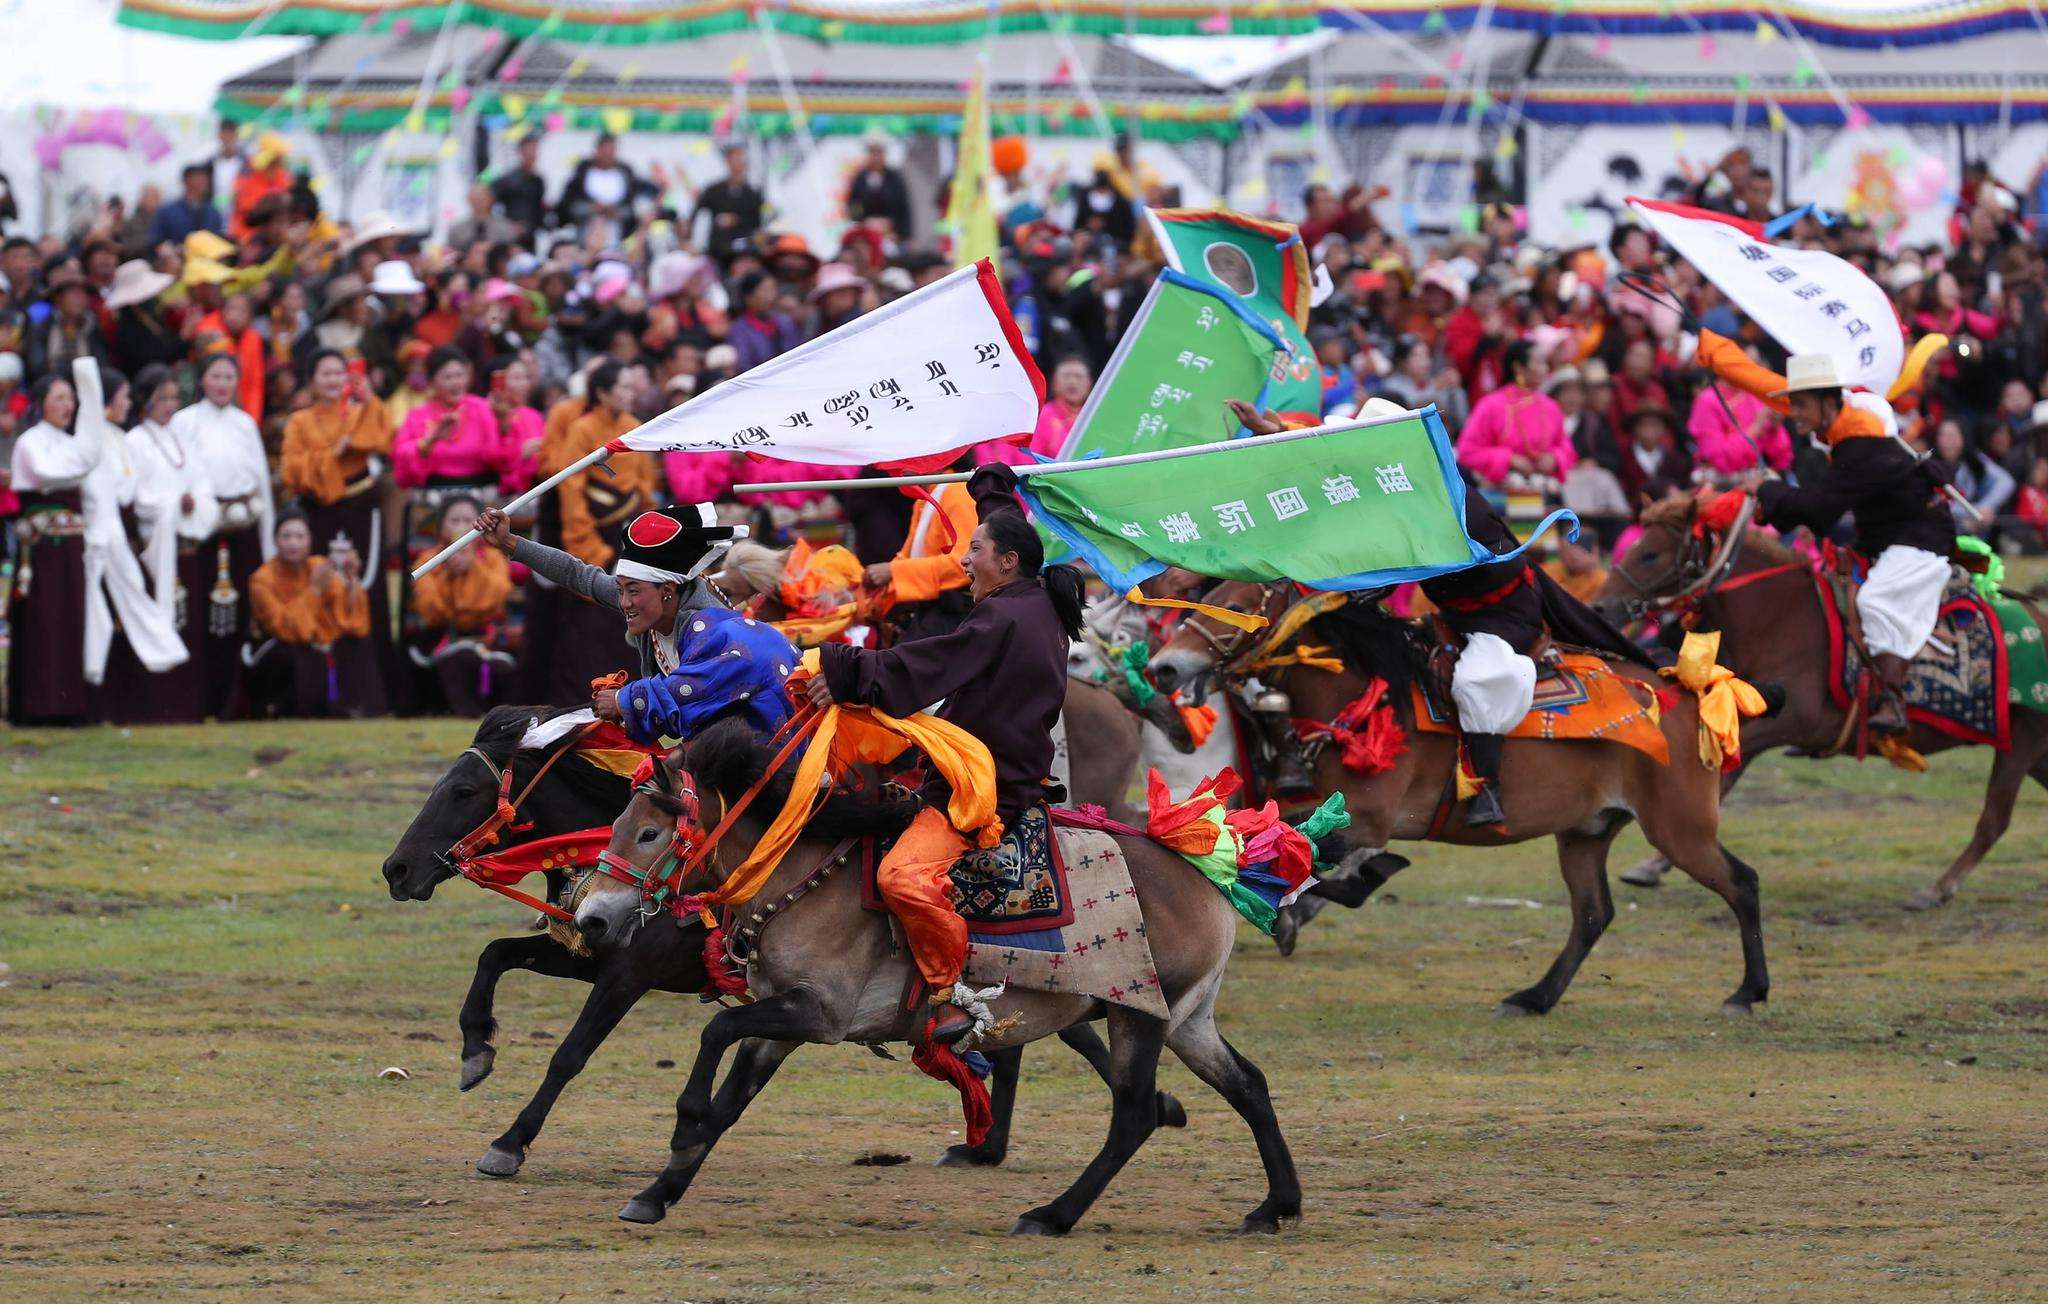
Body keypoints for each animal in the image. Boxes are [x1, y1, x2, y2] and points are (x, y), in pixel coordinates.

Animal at [569, 716, 1294, 1236]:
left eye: (650, 833)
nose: (592, 919)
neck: (797, 876)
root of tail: (1207, 879)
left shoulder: (820, 1014)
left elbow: (714, 1037)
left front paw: (682, 1124)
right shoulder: (782, 1021)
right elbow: (730, 1102)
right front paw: (658, 1192)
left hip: (1137, 1011)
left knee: (1134, 1114)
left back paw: (1051, 1215)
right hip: (1185, 1019)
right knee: (1249, 1084)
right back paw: (1277, 1205)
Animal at [1155, 581, 1777, 1015]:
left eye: (1240, 604)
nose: (1164, 666)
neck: (1364, 695)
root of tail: (1691, 690)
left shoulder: (1372, 818)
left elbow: (1323, 859)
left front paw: (1340, 889)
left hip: (1678, 826)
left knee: (1742, 883)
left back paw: (1747, 991)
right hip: (1587, 831)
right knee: (1592, 914)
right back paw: (1535, 997)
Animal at [1597, 493, 2048, 908]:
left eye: (1650, 553)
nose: (1601, 607)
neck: (1781, 616)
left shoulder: (1783, 722)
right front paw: (1652, 863)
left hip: (2023, 741)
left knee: (1994, 820)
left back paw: (1939, 888)